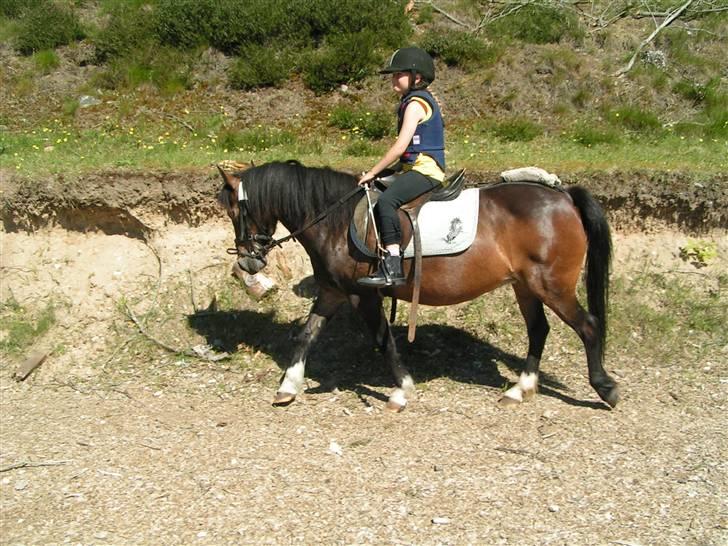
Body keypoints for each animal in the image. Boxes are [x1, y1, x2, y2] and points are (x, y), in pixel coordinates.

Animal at [216, 160, 619, 412]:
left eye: (237, 212)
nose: (247, 262)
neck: (335, 219)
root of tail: (563, 196)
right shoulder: (332, 291)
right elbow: (307, 335)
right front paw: (288, 386)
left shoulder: (363, 294)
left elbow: (384, 340)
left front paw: (402, 390)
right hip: (525, 286)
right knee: (538, 330)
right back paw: (521, 390)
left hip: (552, 286)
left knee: (588, 326)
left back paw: (605, 387)